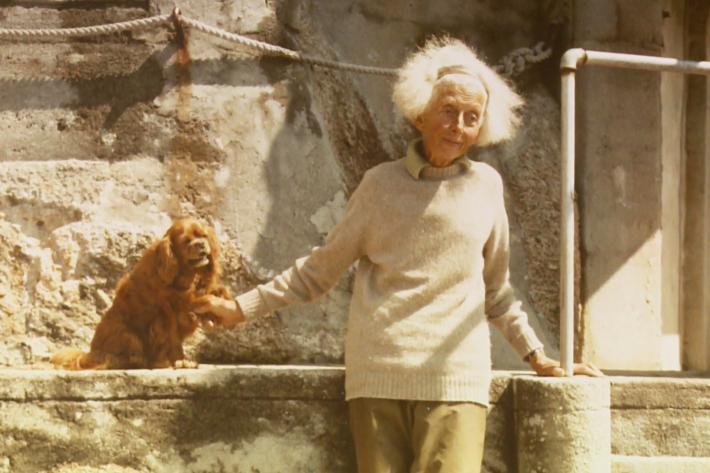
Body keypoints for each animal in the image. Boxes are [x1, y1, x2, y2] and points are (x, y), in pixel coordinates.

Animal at [52, 218, 231, 368]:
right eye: (186, 241)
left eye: (204, 236)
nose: (201, 244)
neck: (182, 273)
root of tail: (89, 354)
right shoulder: (167, 313)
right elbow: (173, 339)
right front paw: (180, 361)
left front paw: (222, 296)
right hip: (129, 335)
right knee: (114, 358)